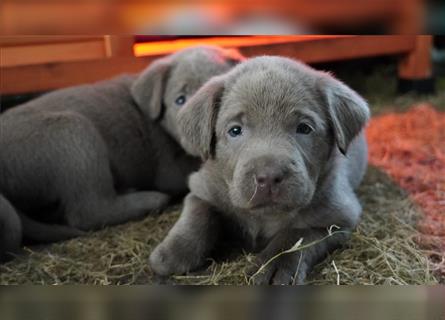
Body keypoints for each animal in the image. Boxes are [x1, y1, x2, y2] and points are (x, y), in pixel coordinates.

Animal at [149, 55, 368, 284]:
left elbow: (295, 235)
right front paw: (172, 254)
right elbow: (198, 213)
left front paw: (273, 268)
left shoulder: (338, 217)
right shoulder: (203, 186)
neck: (265, 216)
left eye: (304, 128)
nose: (269, 177)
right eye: (235, 130)